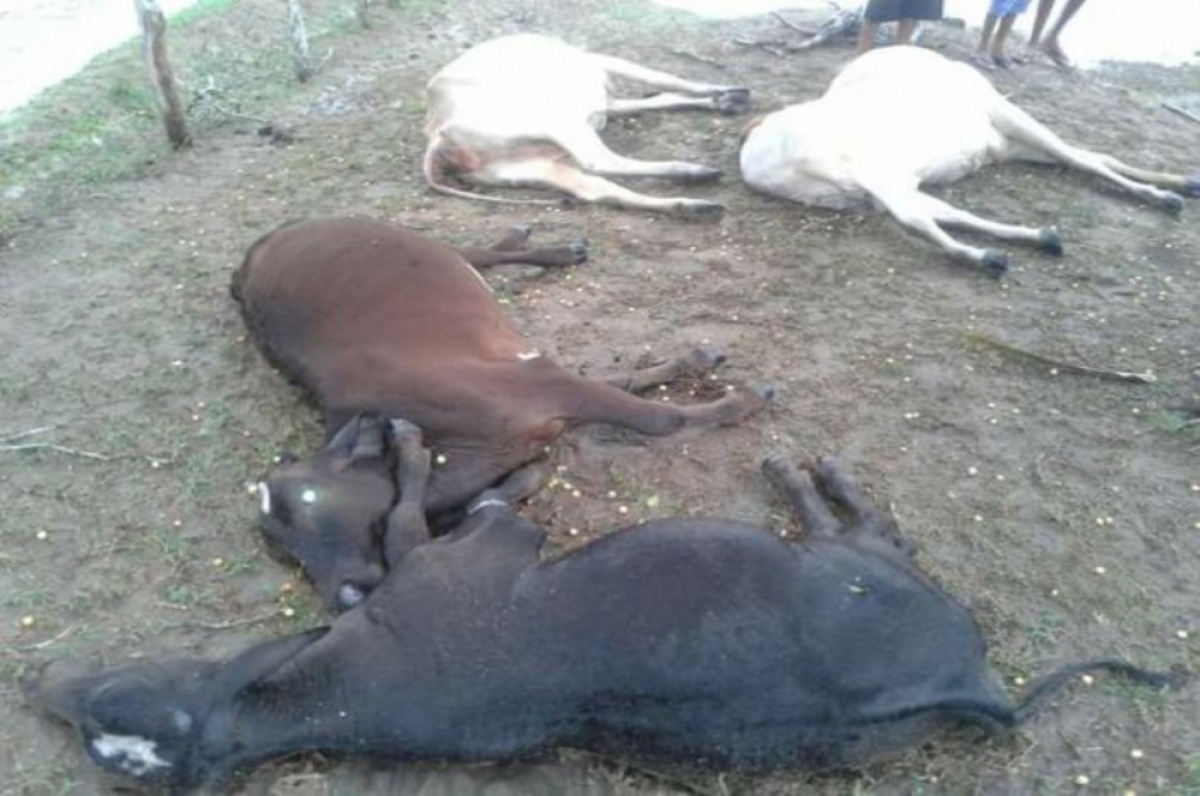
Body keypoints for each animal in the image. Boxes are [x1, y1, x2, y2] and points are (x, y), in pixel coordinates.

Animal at [230, 220, 772, 612]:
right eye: (279, 550)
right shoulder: (542, 390)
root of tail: (253, 255)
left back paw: (548, 248)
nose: (345, 597)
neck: (460, 453)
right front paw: (695, 364)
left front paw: (740, 399)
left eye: (309, 498)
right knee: (476, 256)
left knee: (473, 253)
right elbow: (622, 385)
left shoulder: (539, 382)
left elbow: (659, 419)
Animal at [422, 34, 748, 218]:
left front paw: (723, 100)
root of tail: (438, 134)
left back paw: (695, 206)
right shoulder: (599, 64)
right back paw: (694, 171)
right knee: (599, 162)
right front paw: (725, 90)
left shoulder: (603, 101)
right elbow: (664, 79)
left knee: (598, 190)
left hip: (529, 167)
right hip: (555, 120)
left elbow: (657, 96)